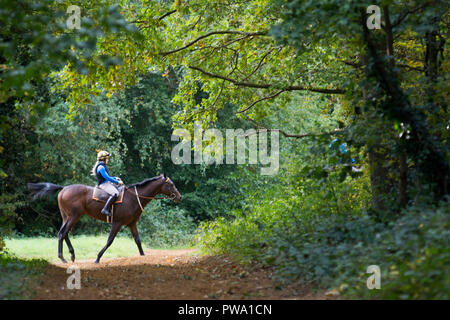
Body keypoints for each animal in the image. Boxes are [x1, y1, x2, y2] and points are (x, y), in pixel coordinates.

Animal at [27, 174, 181, 264]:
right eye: (171, 184)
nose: (179, 197)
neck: (133, 198)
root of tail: (64, 188)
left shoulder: (132, 224)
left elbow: (138, 241)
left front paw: (143, 257)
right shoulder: (117, 223)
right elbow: (110, 241)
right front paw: (98, 258)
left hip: (67, 217)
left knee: (64, 233)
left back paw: (71, 255)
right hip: (74, 216)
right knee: (62, 233)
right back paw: (63, 258)